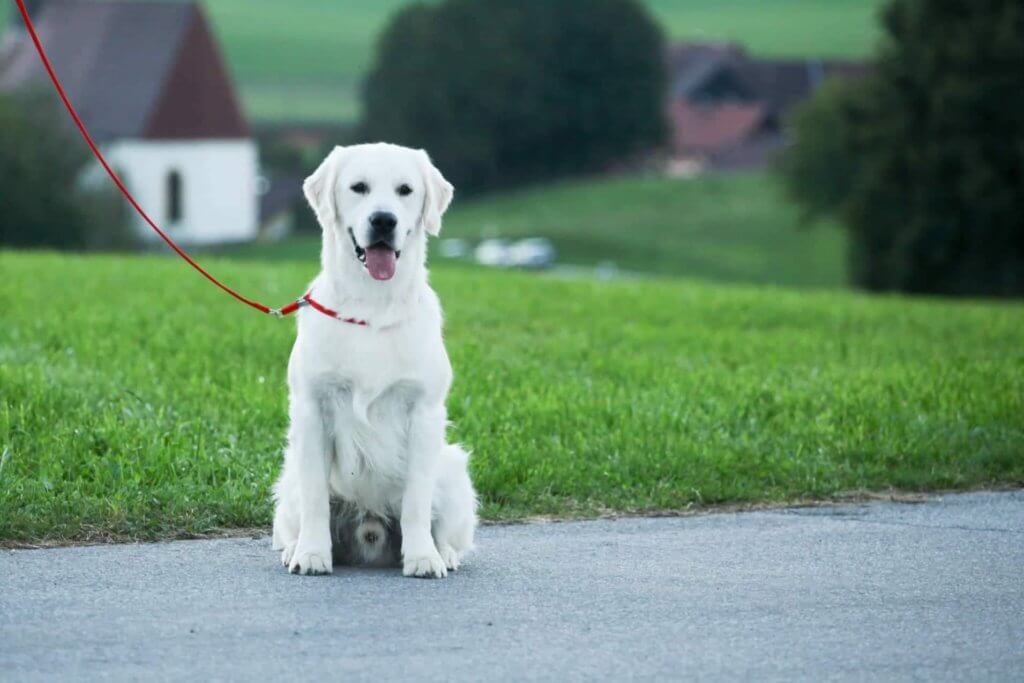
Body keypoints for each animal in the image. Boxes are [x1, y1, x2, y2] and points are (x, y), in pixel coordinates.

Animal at [272, 143, 479, 577]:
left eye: (405, 190)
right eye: (359, 187)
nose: (383, 220)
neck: (372, 307)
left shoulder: (424, 412)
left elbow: (416, 502)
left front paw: (422, 558)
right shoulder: (312, 409)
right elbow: (316, 497)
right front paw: (312, 554)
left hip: (452, 467)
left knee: (444, 526)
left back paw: (444, 553)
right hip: (289, 474)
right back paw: (295, 547)